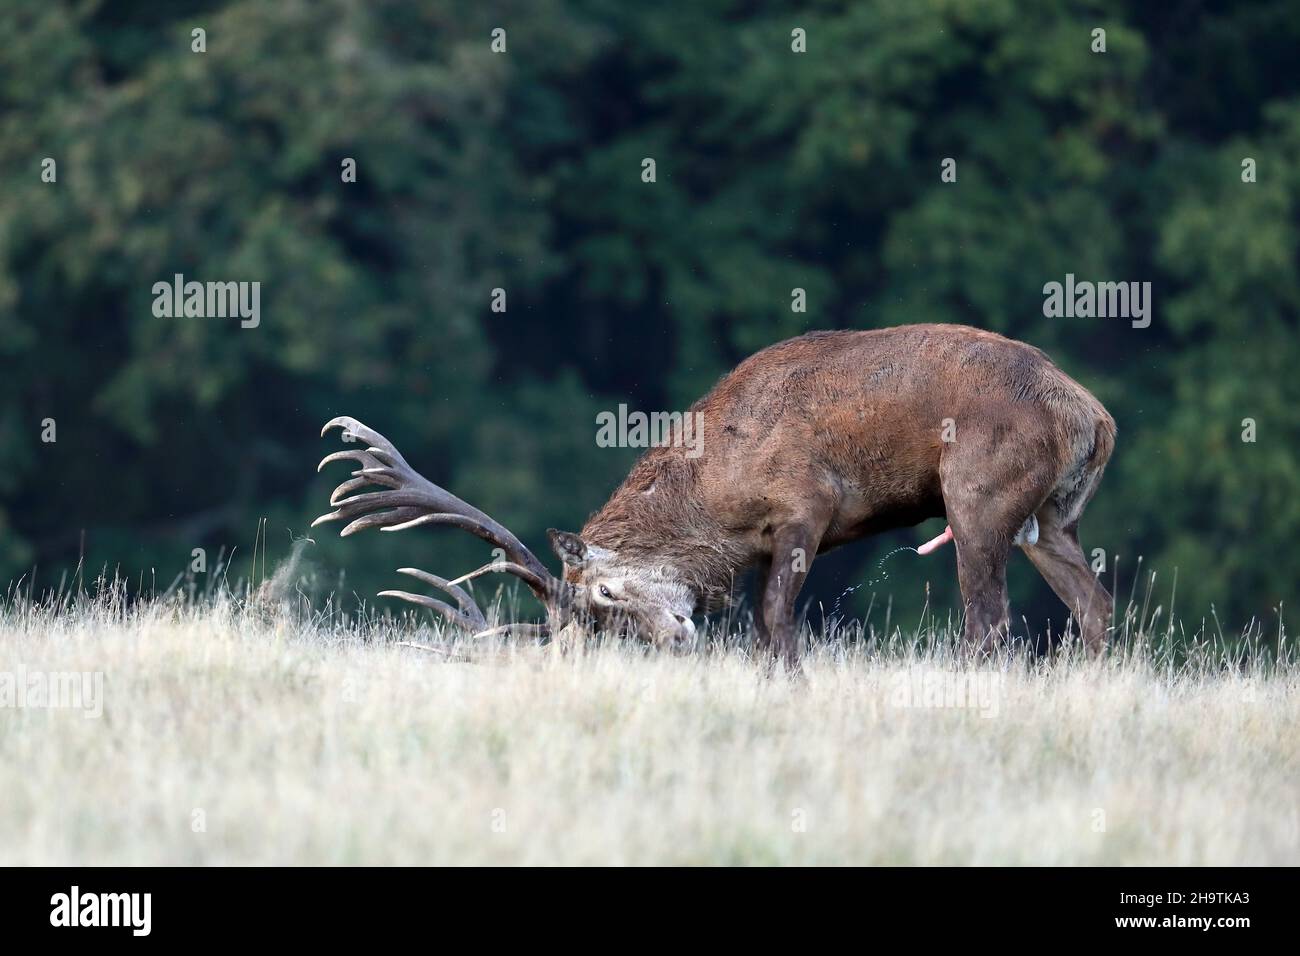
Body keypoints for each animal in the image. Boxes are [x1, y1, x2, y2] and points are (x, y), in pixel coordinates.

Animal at [313, 324, 1116, 666]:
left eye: (604, 596)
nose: (675, 636)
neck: (718, 507)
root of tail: (1092, 414)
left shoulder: (805, 504)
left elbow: (773, 622)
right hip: (1051, 517)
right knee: (1094, 604)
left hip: (977, 492)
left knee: (990, 621)